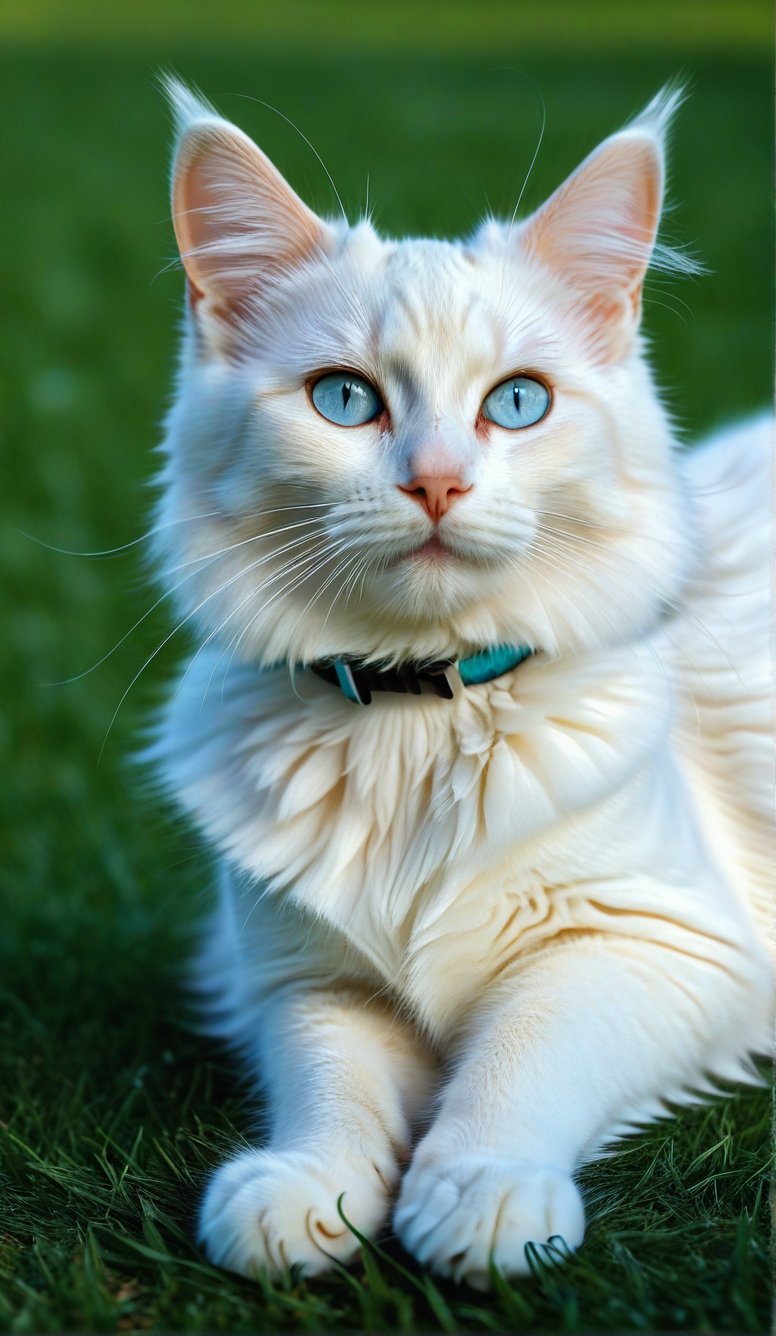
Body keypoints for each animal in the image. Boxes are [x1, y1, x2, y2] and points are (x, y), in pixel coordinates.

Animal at [148, 78, 769, 1287]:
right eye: (344, 401)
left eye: (517, 404)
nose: (436, 483)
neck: (415, 711)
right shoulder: (302, 977)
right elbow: (331, 1087)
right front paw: (304, 1192)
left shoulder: (655, 939)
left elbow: (521, 1059)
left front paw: (482, 1193)